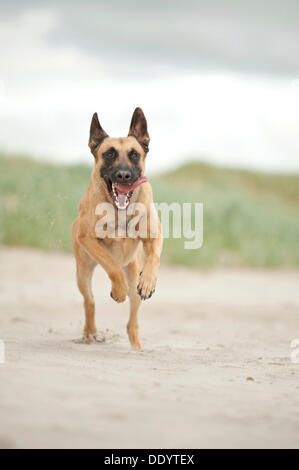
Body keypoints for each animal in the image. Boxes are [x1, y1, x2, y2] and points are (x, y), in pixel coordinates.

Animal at [72, 106, 163, 348]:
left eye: (134, 154)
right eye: (109, 154)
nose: (123, 175)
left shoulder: (155, 235)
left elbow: (154, 257)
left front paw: (148, 281)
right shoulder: (88, 239)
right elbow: (111, 266)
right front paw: (118, 291)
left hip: (133, 278)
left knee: (132, 321)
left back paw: (136, 346)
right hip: (82, 272)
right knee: (90, 301)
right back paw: (90, 332)